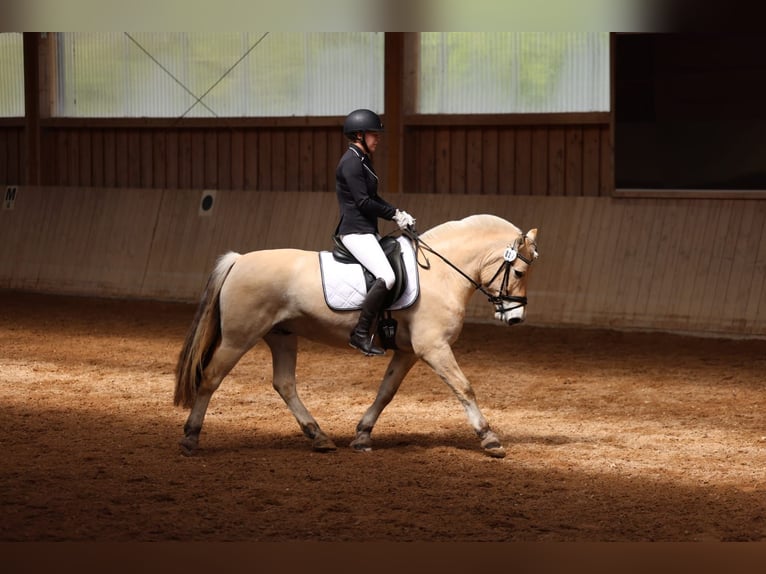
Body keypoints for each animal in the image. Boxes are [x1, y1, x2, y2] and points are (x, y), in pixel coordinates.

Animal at [174, 214, 539, 458]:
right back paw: (190, 438)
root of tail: (238, 261)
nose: (515, 317)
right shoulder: (433, 347)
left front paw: (363, 435)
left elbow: (386, 392)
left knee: (284, 384)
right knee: (210, 377)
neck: (441, 273)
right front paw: (489, 438)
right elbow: (464, 387)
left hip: (282, 335)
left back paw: (319, 437)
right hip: (239, 337)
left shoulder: (408, 352)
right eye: (520, 272)